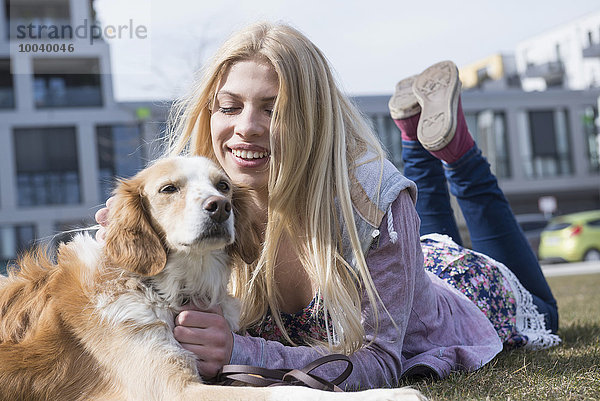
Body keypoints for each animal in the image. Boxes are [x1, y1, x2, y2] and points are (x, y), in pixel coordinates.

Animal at [0, 157, 422, 400]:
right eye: (168, 189)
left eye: (223, 186)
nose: (219, 207)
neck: (167, 292)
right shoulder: (170, 389)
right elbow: (287, 393)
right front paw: (393, 396)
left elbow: (284, 383)